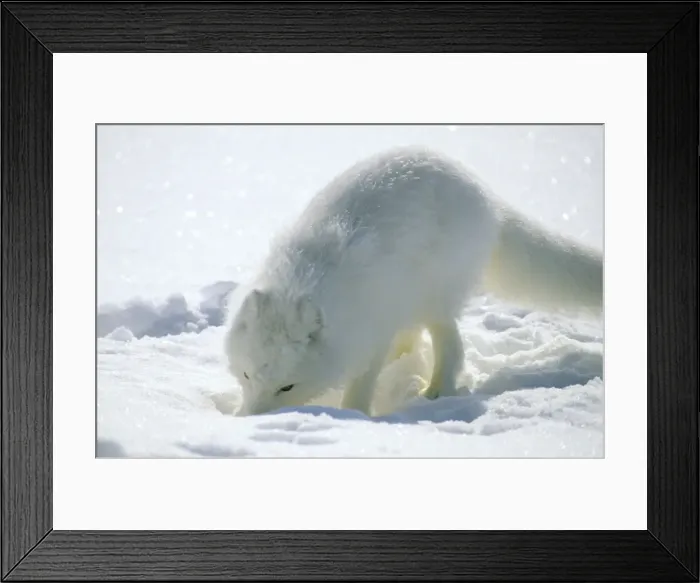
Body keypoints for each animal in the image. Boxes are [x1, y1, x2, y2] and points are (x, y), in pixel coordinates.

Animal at [223, 146, 603, 417]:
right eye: (246, 376)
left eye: (287, 388)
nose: (249, 420)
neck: (302, 278)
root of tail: (486, 195)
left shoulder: (370, 335)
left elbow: (362, 383)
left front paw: (353, 416)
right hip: (409, 296)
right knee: (412, 332)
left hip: (436, 294)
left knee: (449, 342)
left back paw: (435, 391)